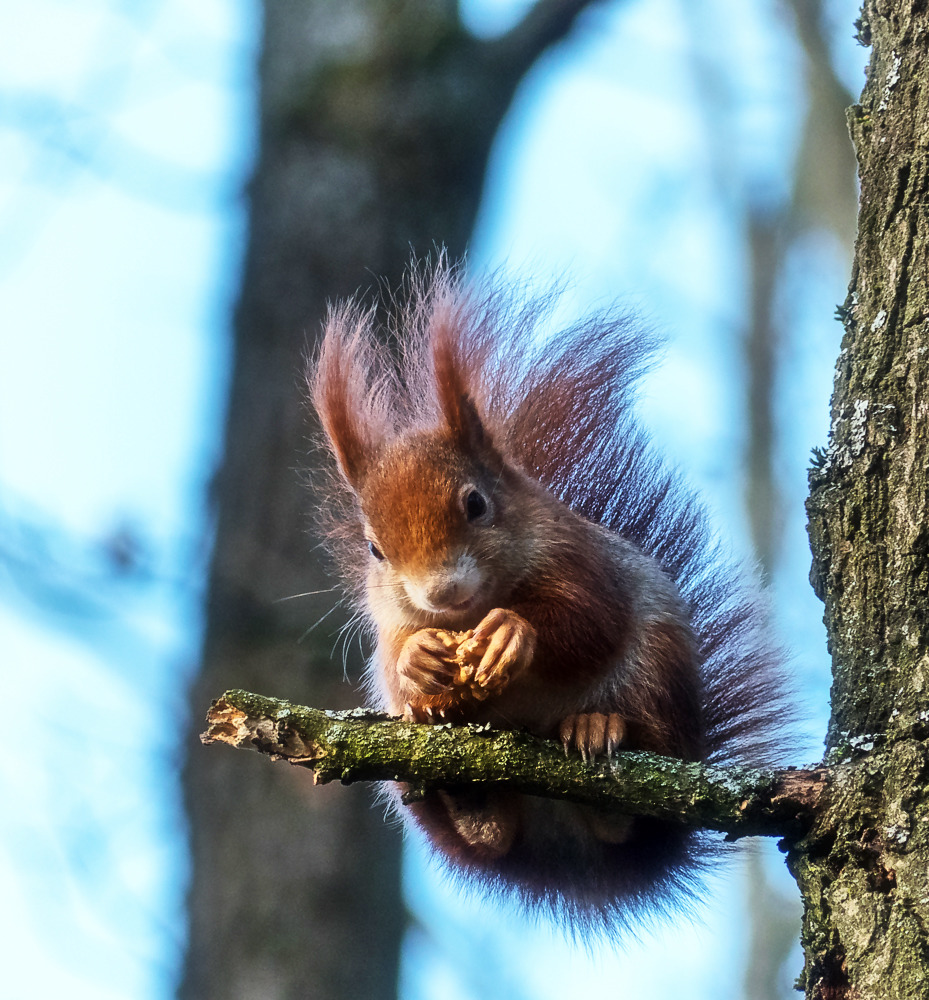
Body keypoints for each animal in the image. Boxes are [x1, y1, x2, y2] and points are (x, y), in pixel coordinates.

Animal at [308, 260, 788, 928]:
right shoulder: (389, 621)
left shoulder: (582, 561)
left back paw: (598, 729)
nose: (441, 592)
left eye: (476, 503)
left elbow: (590, 620)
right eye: (374, 549)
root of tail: (564, 844)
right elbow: (393, 653)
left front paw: (513, 633)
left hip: (659, 677)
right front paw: (417, 661)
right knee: (484, 833)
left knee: (636, 792)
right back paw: (470, 800)